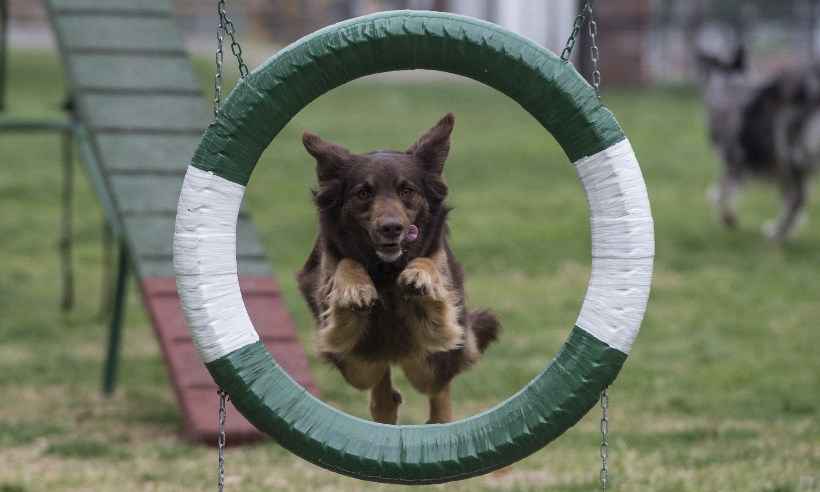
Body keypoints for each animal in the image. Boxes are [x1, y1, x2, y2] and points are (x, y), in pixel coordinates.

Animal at [296, 113, 500, 424]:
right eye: (363, 193)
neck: (386, 271)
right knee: (380, 381)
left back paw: (438, 418)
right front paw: (355, 288)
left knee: (438, 384)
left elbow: (430, 265)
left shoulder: (441, 329)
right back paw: (386, 402)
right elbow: (346, 263)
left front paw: (420, 276)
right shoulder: (342, 346)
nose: (391, 228)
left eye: (407, 190)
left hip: (428, 365)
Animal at [696, 43, 816, 241]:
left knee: (797, 198)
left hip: (788, 149)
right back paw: (778, 232)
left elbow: (723, 191)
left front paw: (728, 218)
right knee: (798, 198)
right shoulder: (779, 168)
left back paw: (776, 233)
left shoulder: (734, 159)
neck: (728, 84)